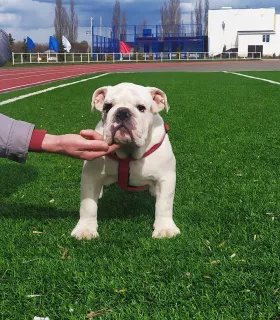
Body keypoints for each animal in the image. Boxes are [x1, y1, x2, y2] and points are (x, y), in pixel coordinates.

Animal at [72, 82, 180, 240]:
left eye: (141, 108)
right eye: (107, 107)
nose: (122, 112)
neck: (128, 152)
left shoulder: (166, 178)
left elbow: (164, 205)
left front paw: (165, 228)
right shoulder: (90, 176)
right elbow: (88, 205)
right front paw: (85, 229)